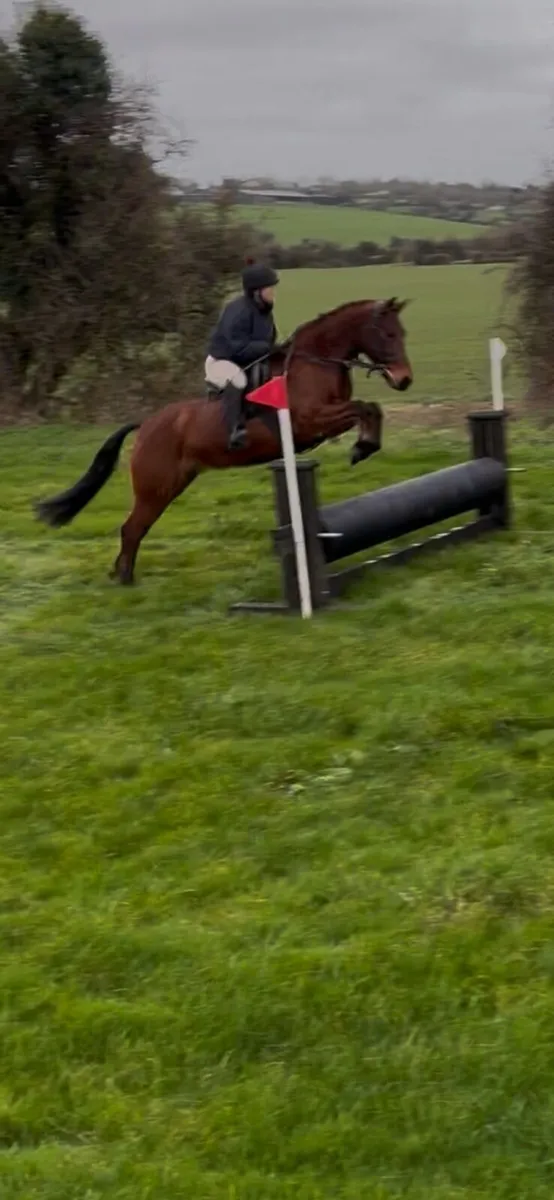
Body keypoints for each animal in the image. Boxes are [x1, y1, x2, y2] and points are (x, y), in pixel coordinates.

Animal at [35, 297, 412, 584]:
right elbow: (363, 408)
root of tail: (146, 426)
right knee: (131, 528)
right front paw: (362, 447)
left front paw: (366, 446)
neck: (316, 360)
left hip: (172, 485)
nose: (405, 380)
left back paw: (120, 574)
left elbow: (370, 409)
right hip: (155, 487)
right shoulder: (310, 421)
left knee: (136, 529)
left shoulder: (323, 421)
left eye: (402, 333)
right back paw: (125, 581)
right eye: (388, 334)